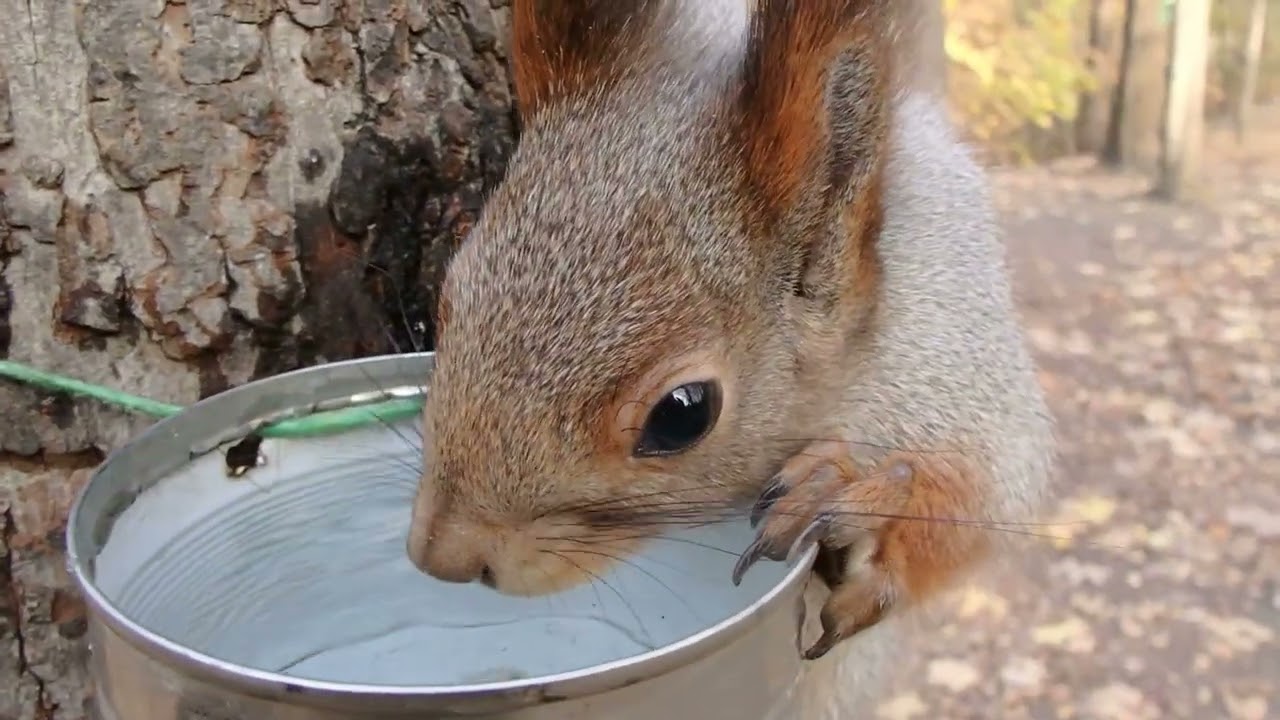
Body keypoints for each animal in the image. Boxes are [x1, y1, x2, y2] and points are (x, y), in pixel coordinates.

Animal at [406, 0, 1055, 712]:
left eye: (682, 415)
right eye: (447, 296)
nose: (444, 557)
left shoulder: (956, 362)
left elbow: (980, 508)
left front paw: (857, 496)